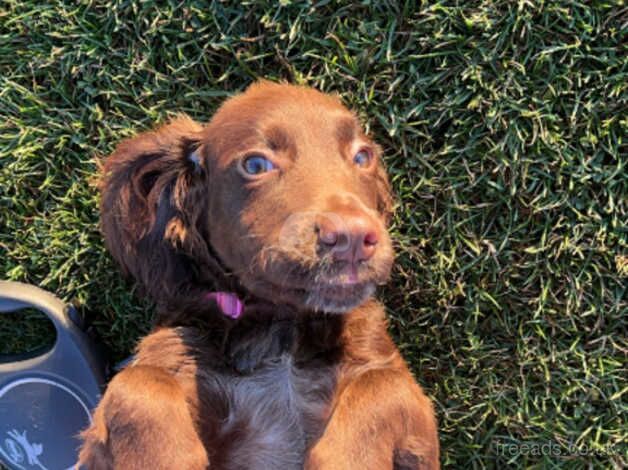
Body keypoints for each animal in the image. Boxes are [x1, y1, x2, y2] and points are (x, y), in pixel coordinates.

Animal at [81, 82, 440, 468]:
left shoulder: (400, 389)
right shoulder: (171, 351)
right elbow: (138, 382)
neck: (278, 333)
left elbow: (383, 384)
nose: (354, 238)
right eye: (255, 164)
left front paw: (347, 458)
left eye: (363, 156)